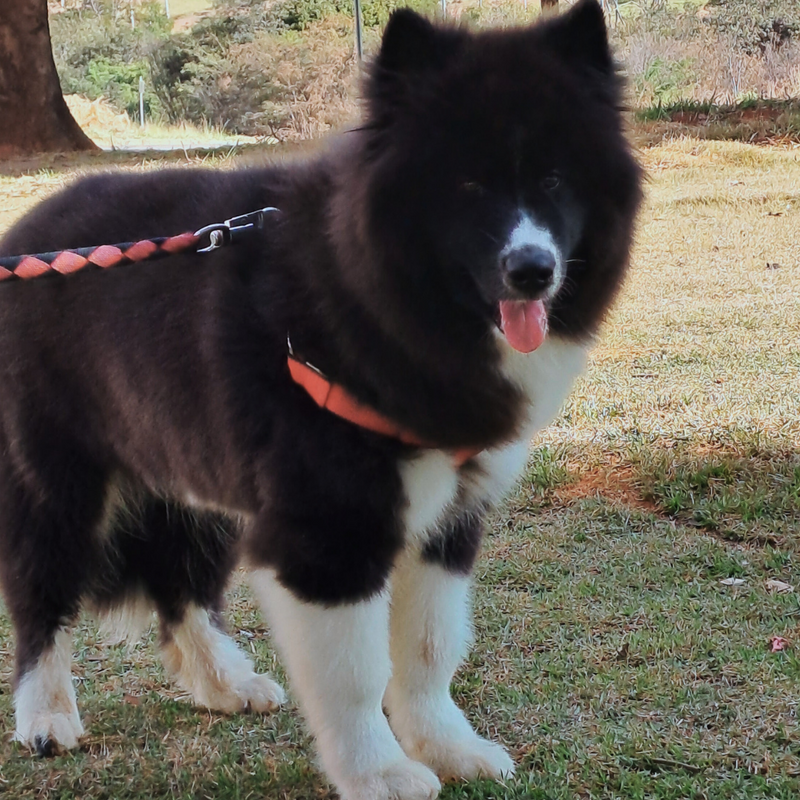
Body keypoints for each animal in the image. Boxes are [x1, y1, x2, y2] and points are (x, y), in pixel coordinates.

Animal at [0, 3, 640, 796]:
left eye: (553, 178)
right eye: (467, 185)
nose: (531, 271)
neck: (378, 306)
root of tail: (28, 233)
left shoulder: (447, 521)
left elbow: (429, 650)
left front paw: (448, 748)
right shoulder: (329, 527)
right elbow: (354, 674)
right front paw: (380, 773)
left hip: (187, 471)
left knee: (182, 582)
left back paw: (224, 683)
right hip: (61, 480)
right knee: (43, 591)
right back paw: (46, 717)